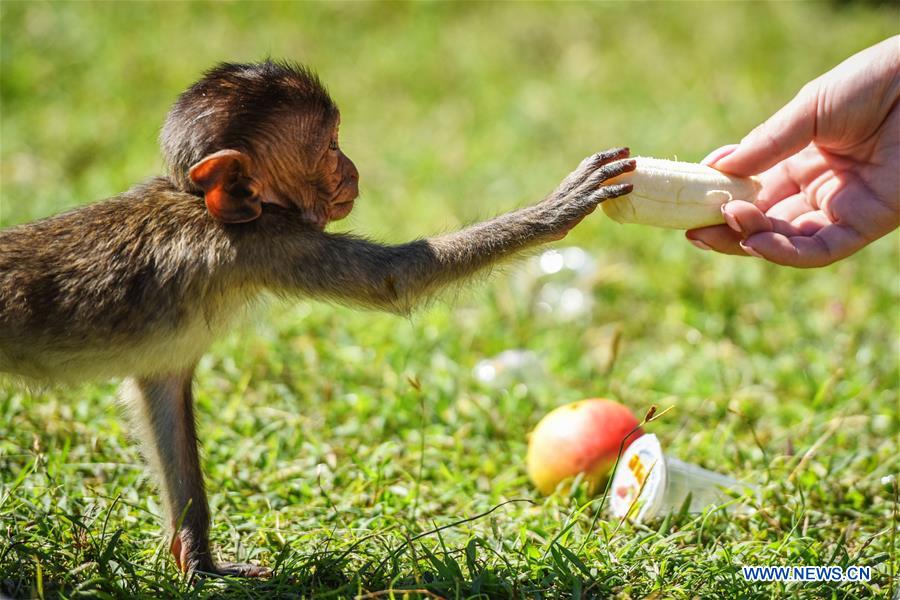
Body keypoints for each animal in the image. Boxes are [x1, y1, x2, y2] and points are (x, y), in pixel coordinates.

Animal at [0, 61, 632, 576]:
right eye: (328, 147)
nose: (353, 167)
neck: (204, 207)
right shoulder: (271, 241)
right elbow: (397, 279)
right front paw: (557, 208)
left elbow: (162, 392)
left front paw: (198, 559)